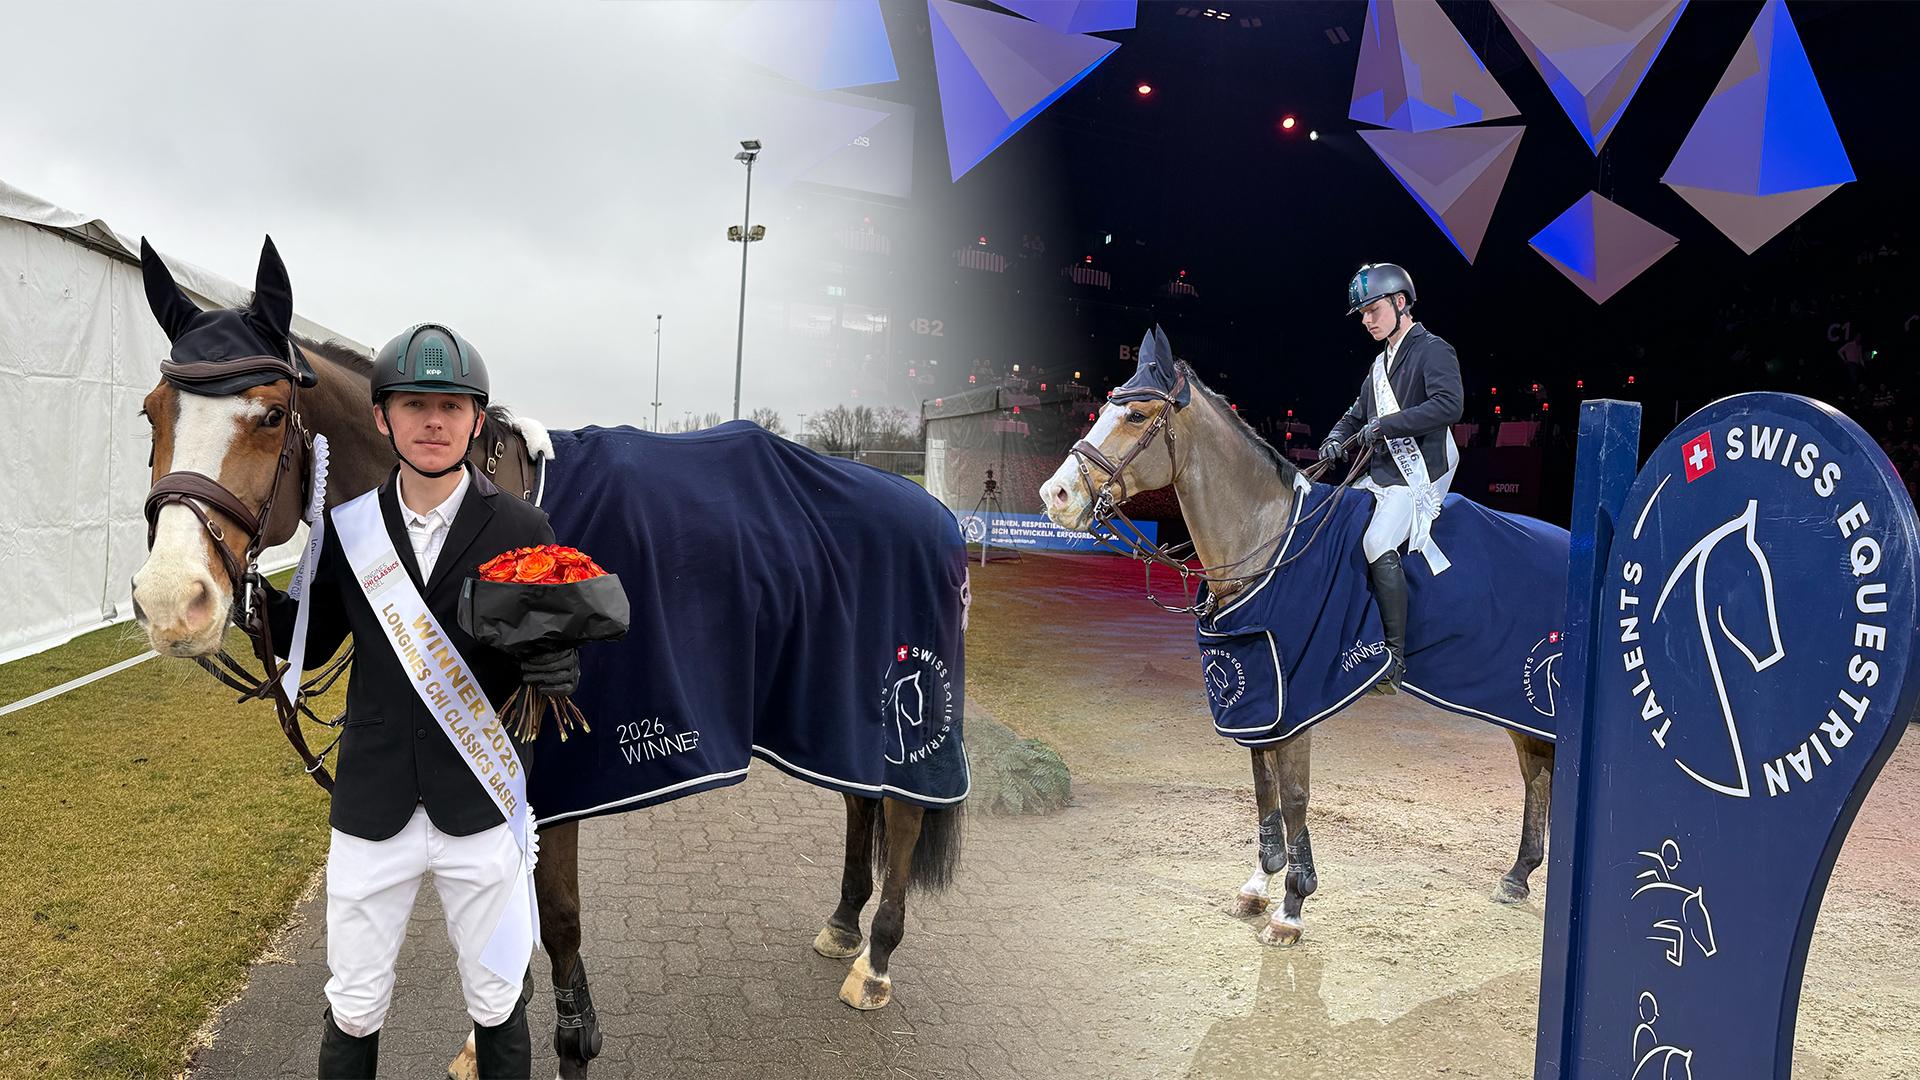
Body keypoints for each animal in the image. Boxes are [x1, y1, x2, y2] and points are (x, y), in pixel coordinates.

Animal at [128, 236, 963, 1079]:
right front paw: (489, 1030)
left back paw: (877, 961)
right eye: (151, 412)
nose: (172, 600)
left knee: (902, 814)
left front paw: (572, 1040)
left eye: (270, 415)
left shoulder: (551, 775)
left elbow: (556, 918)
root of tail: (929, 507)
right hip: (835, 710)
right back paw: (844, 923)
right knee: (861, 799)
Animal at [1037, 332, 1557, 946]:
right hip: (1508, 697)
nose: (1055, 494)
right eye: (1101, 408)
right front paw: (1259, 885)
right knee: (1536, 772)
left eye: (1136, 414)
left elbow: (1294, 796)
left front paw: (1292, 907)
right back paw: (1518, 876)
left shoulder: (1297, 699)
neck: (1268, 539)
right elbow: (1265, 792)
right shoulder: (1261, 699)